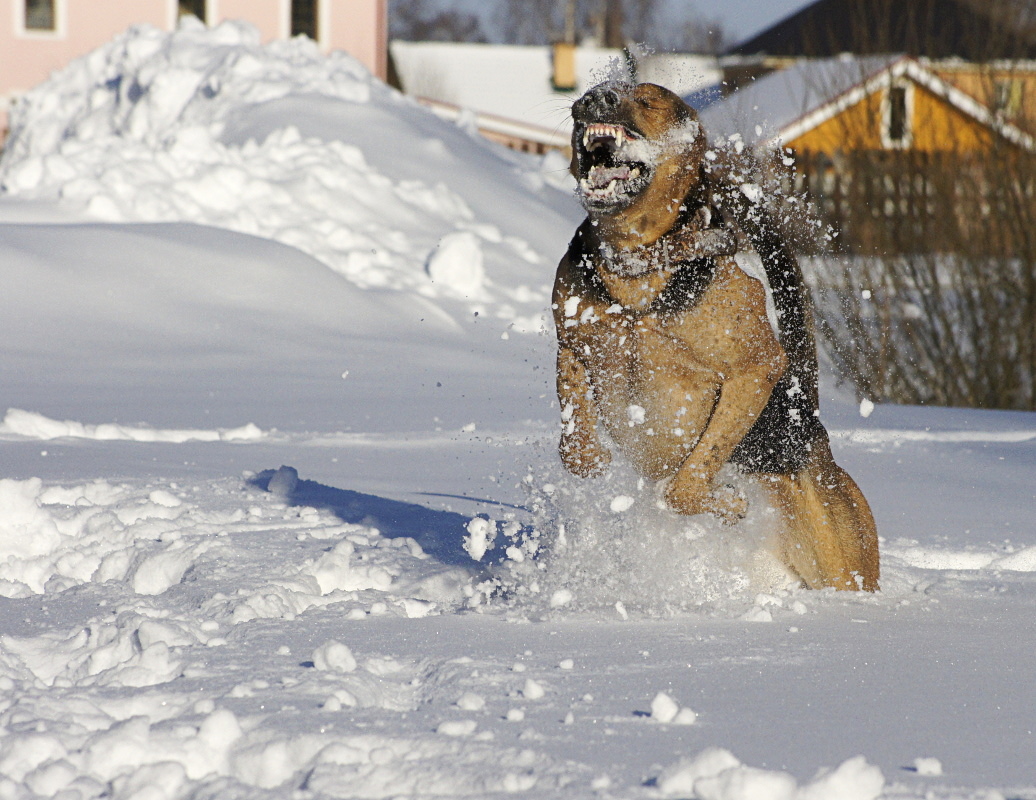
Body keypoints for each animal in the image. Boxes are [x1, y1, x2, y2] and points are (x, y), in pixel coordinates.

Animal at [555, 82, 878, 592]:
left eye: (649, 101)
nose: (594, 96)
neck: (638, 260)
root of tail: (812, 431)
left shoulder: (756, 368)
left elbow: (690, 479)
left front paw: (726, 501)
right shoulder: (570, 344)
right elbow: (576, 445)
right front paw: (594, 458)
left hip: (843, 560)